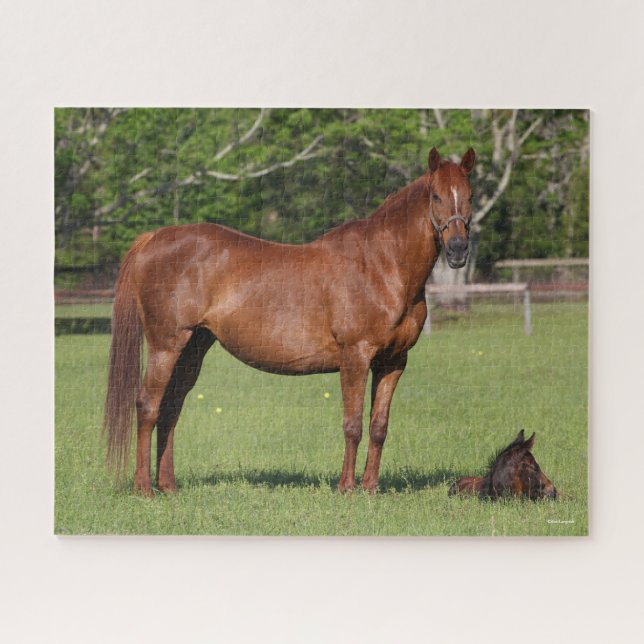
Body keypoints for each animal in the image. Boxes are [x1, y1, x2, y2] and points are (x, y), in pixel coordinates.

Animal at [103, 146, 476, 496]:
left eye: (470, 196)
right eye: (436, 196)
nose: (458, 249)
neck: (382, 266)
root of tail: (153, 238)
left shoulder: (393, 361)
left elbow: (378, 426)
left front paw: (370, 488)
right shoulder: (355, 357)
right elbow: (353, 425)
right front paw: (347, 488)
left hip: (193, 347)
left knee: (171, 409)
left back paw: (168, 485)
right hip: (166, 346)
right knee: (148, 406)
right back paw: (144, 488)